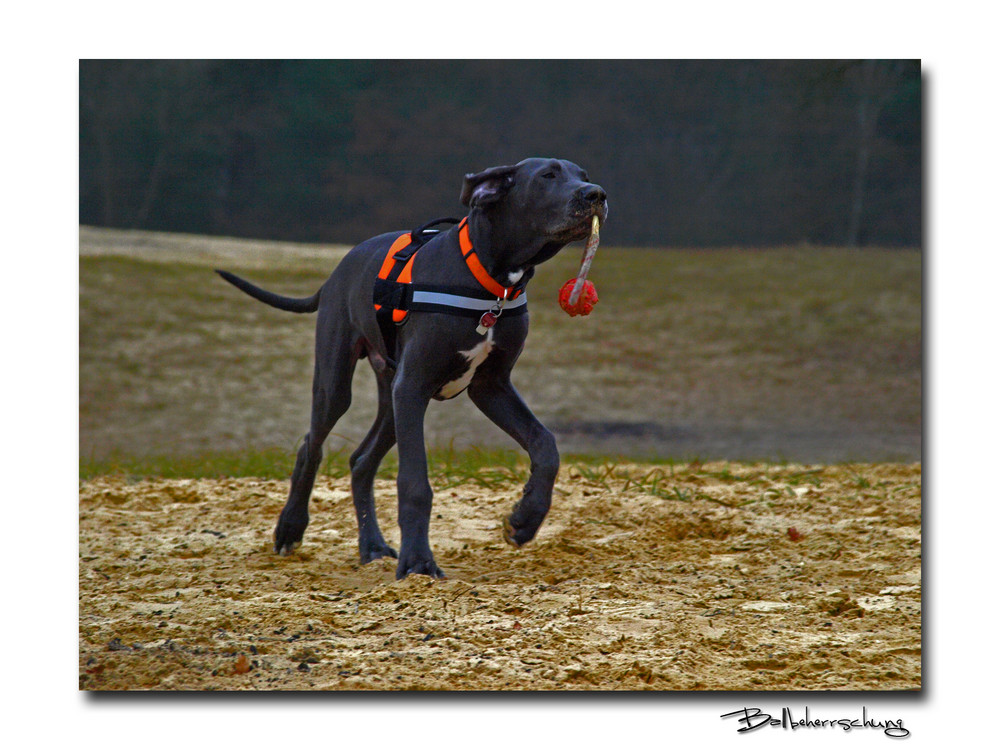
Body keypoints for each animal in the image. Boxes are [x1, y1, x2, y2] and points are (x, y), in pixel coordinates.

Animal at [218, 159, 604, 580]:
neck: (491, 281)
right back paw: (290, 529)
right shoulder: (415, 385)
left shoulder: (490, 386)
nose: (597, 194)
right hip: (340, 384)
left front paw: (524, 520)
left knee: (361, 462)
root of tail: (336, 272)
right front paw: (418, 563)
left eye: (583, 175)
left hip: (392, 397)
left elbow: (546, 445)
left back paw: (371, 546)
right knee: (311, 446)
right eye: (548, 175)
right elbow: (415, 483)